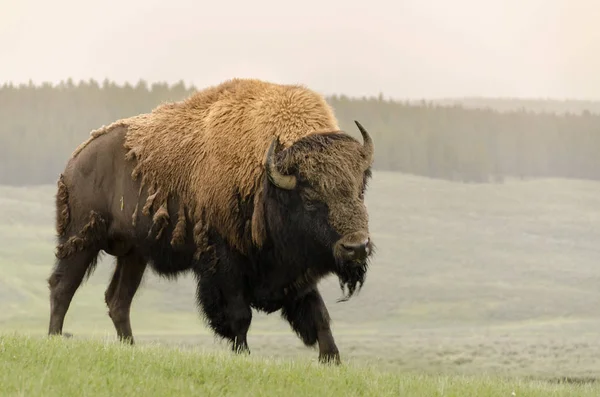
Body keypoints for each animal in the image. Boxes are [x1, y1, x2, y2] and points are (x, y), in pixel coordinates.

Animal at [48, 76, 376, 362]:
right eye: (310, 197)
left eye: (360, 189)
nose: (357, 247)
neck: (268, 179)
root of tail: (76, 160)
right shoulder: (224, 263)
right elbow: (240, 316)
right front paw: (243, 355)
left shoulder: (295, 271)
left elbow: (319, 316)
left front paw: (332, 359)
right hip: (81, 239)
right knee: (62, 287)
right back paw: (54, 338)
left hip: (134, 254)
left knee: (118, 300)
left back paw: (129, 346)